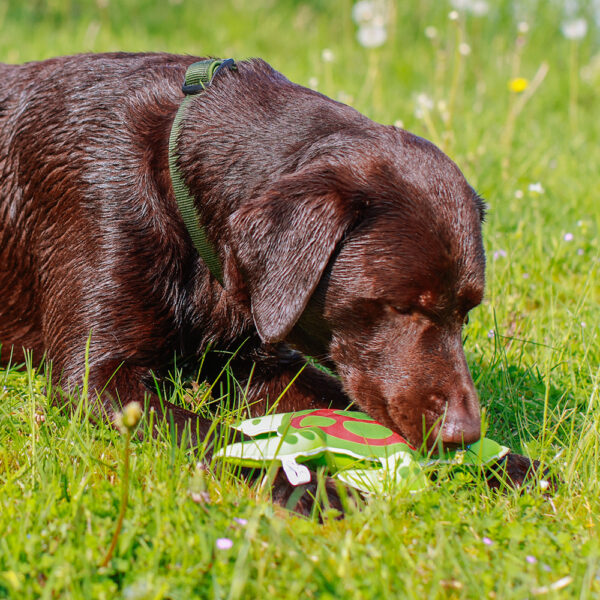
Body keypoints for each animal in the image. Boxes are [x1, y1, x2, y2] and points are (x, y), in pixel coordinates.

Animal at [0, 52, 536, 510]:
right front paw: (320, 491)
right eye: (400, 306)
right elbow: (221, 438)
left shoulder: (260, 361)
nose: (463, 434)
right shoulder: (95, 379)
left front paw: (506, 463)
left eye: (466, 312)